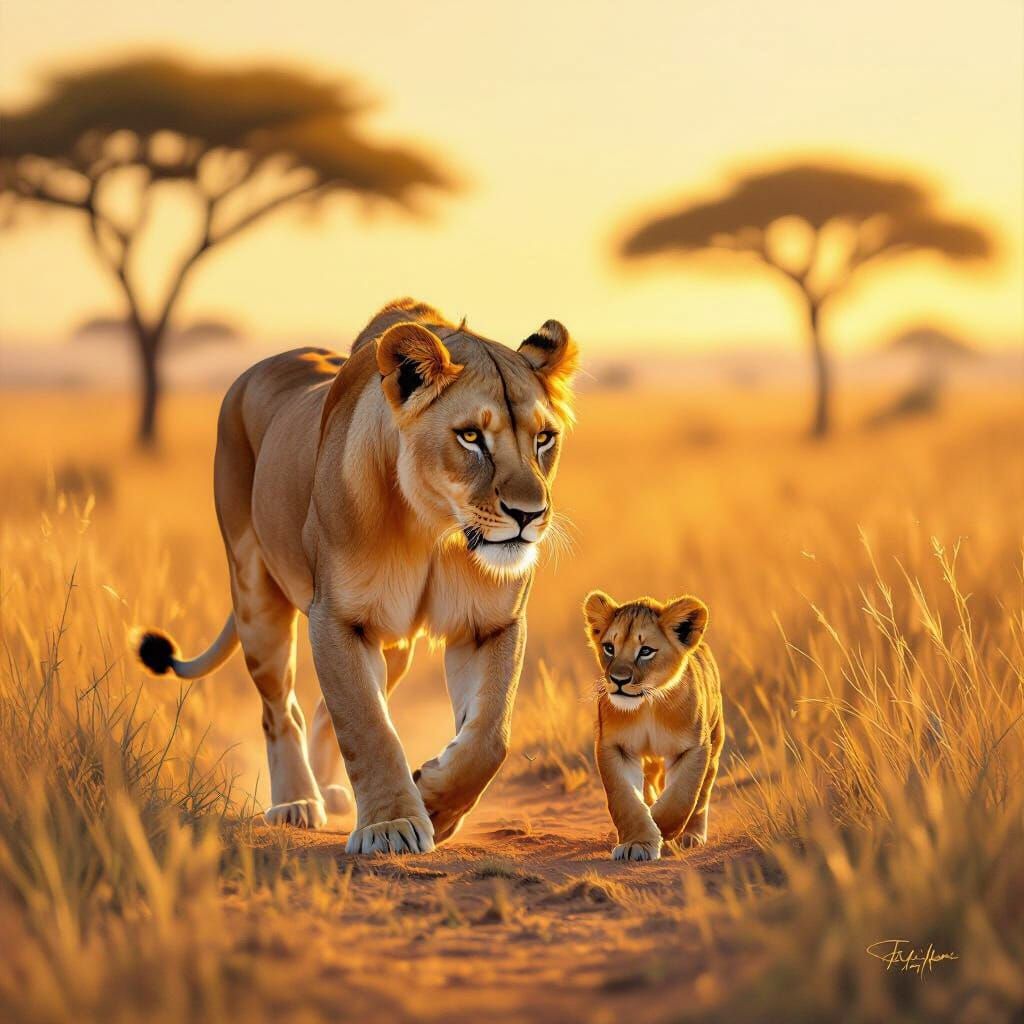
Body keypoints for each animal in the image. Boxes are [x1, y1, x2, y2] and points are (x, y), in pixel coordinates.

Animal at [137, 298, 578, 855]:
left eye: (544, 438)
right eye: (470, 436)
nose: (528, 514)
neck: (436, 531)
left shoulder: (489, 625)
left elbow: (488, 737)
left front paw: (434, 800)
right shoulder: (338, 618)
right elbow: (368, 725)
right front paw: (392, 825)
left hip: (396, 645)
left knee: (331, 708)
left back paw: (332, 791)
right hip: (256, 596)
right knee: (282, 709)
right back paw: (297, 803)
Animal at [582, 590, 724, 861]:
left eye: (646, 651)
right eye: (609, 648)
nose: (618, 680)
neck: (647, 705)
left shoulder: (693, 748)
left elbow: (680, 798)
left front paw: (660, 830)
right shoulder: (614, 747)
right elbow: (625, 800)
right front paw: (638, 841)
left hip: (715, 742)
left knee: (702, 796)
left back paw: (691, 836)